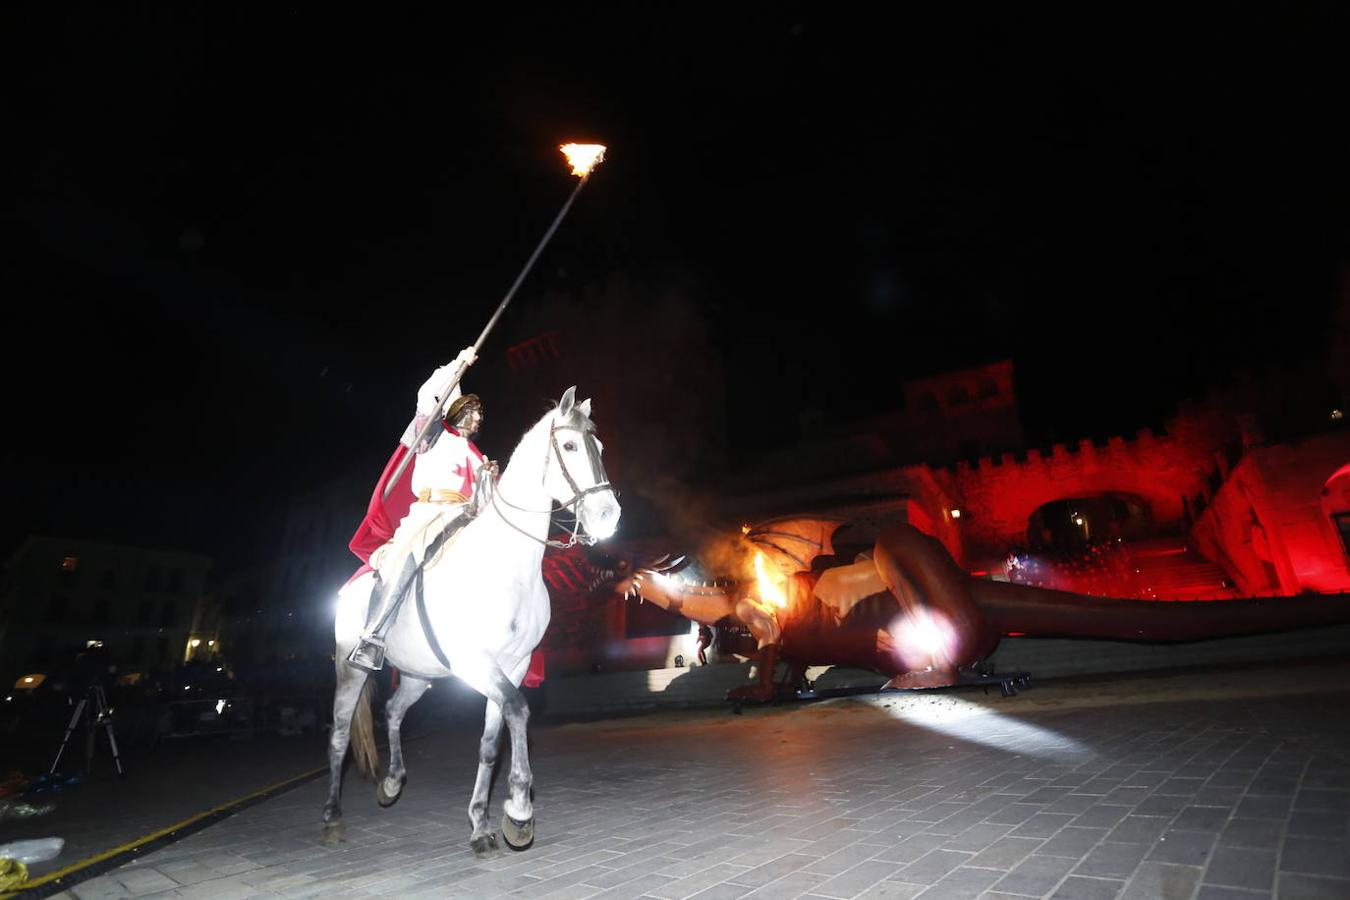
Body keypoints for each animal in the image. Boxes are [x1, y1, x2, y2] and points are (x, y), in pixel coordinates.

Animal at [324, 388, 618, 858]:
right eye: (571, 446)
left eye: (601, 448)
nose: (609, 515)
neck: (507, 563)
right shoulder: (475, 664)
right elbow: (518, 710)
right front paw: (519, 810)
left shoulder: (512, 665)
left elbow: (490, 743)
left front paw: (482, 823)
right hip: (350, 668)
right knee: (337, 735)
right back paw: (333, 817)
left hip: (417, 673)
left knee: (393, 711)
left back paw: (392, 783)